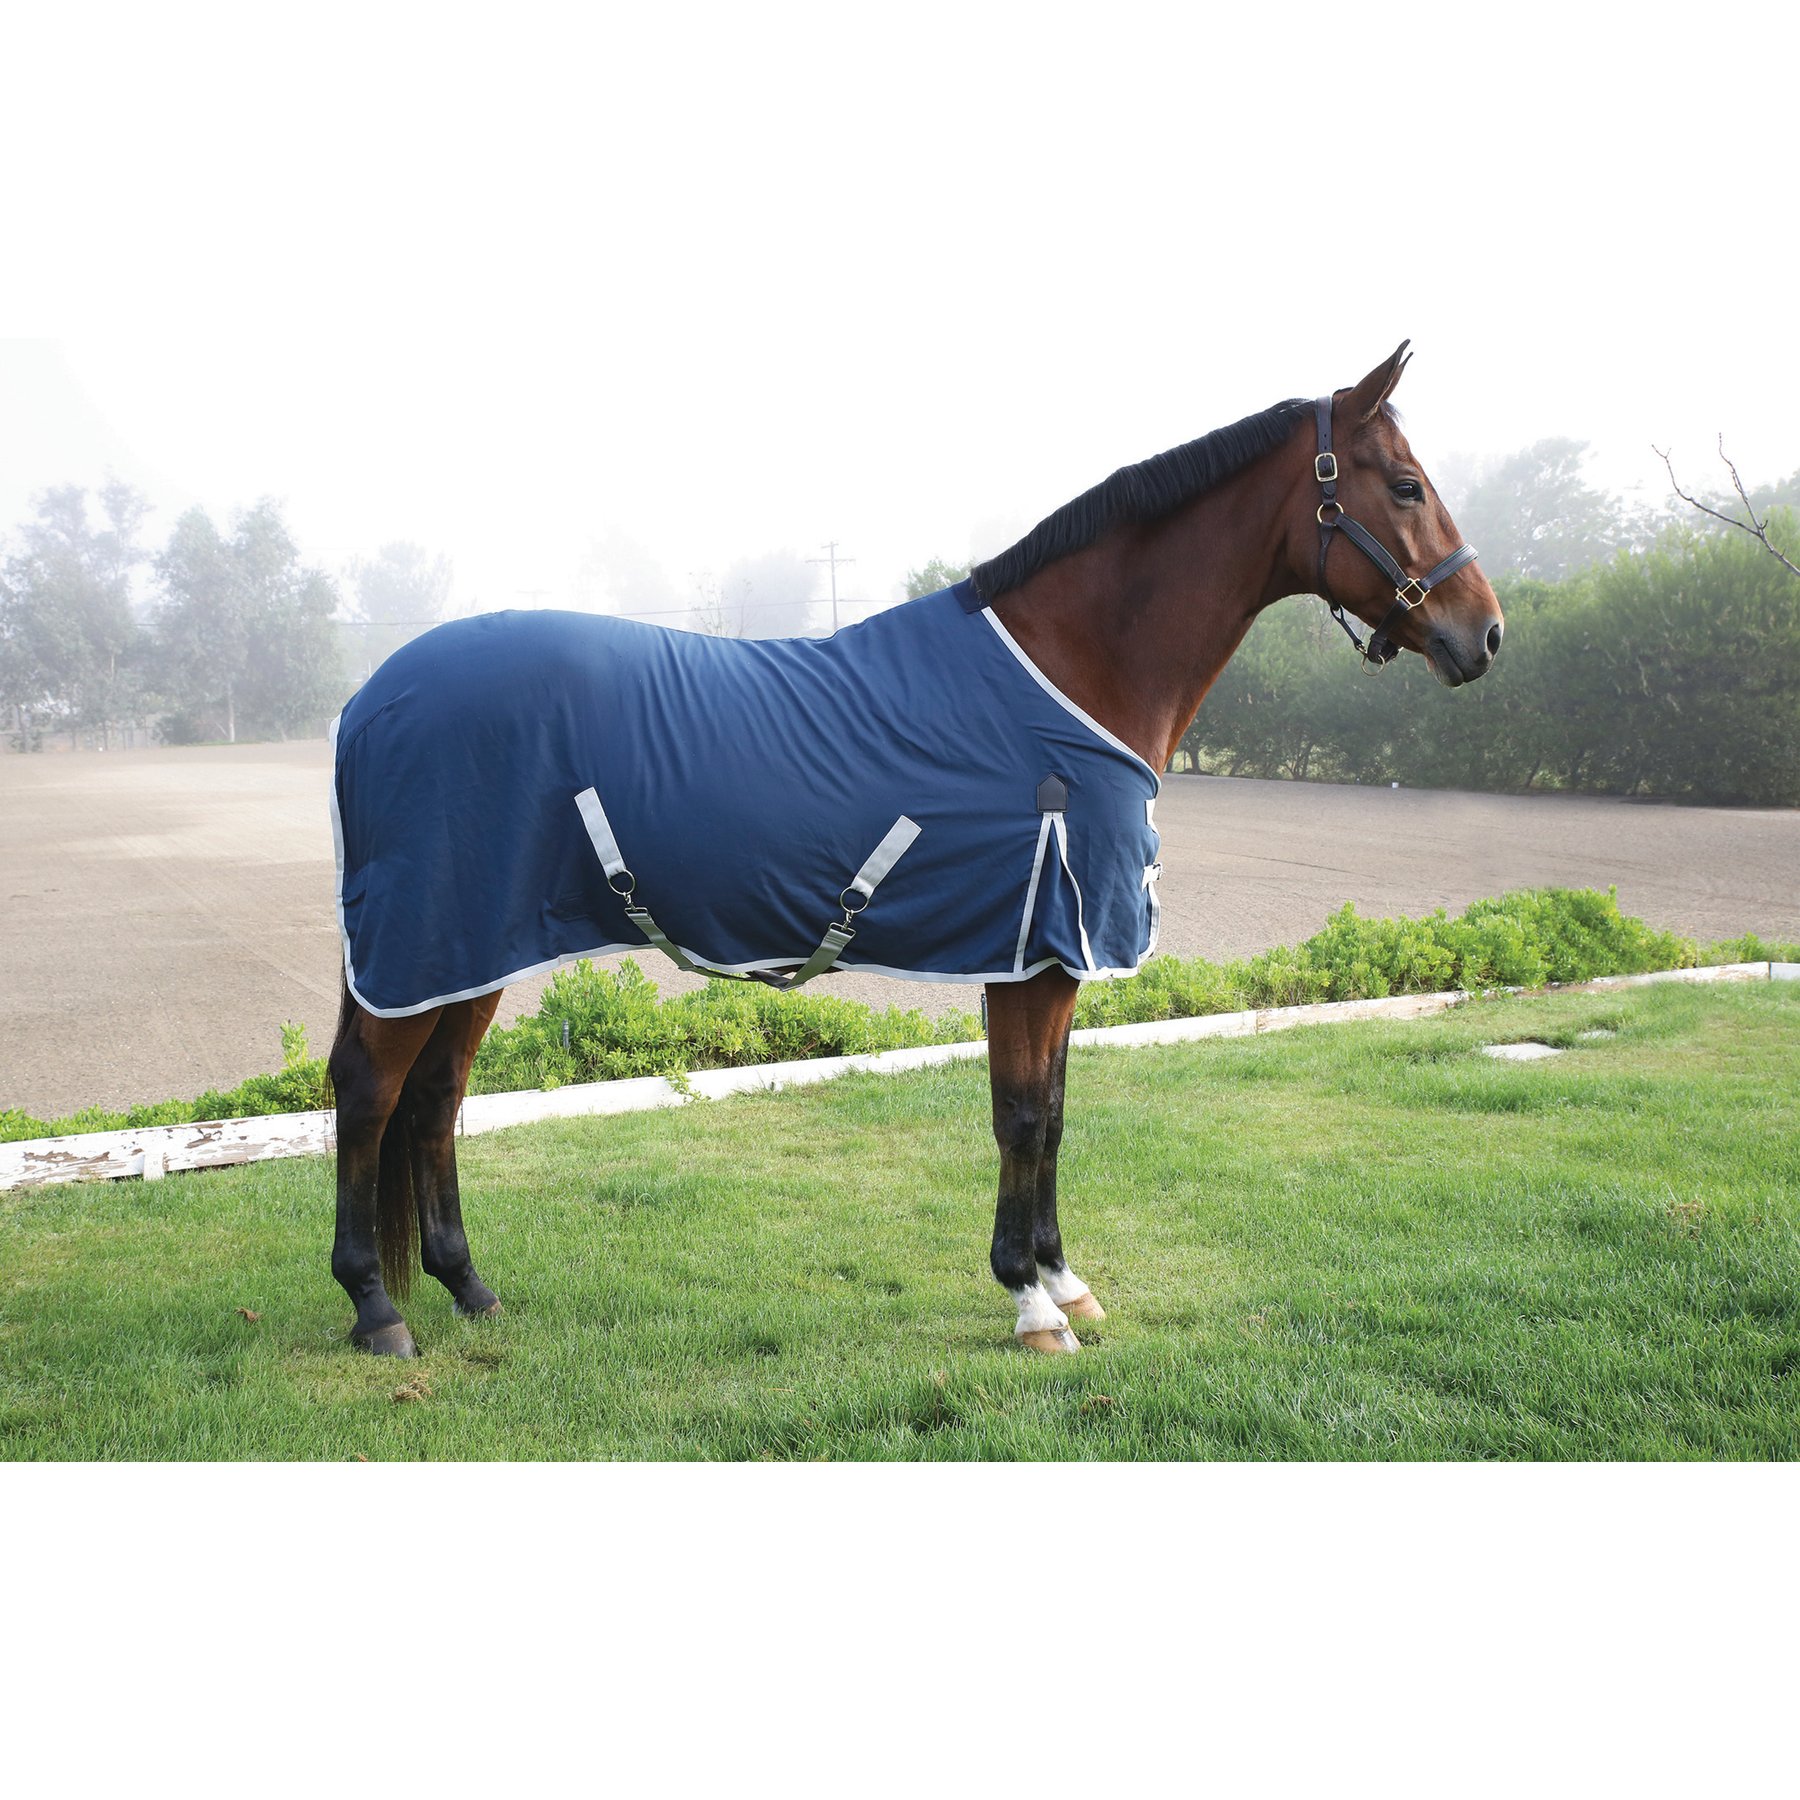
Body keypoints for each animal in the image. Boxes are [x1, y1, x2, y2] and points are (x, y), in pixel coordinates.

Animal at [325, 342, 1503, 1359]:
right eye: (1404, 486)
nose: (1484, 634)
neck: (1068, 671)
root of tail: (369, 700)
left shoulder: (1048, 955)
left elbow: (1055, 1114)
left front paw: (1066, 1278)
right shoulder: (1033, 951)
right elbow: (1021, 1117)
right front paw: (1032, 1303)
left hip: (473, 949)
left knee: (434, 1100)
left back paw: (469, 1287)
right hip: (428, 939)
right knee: (371, 1092)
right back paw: (377, 1307)